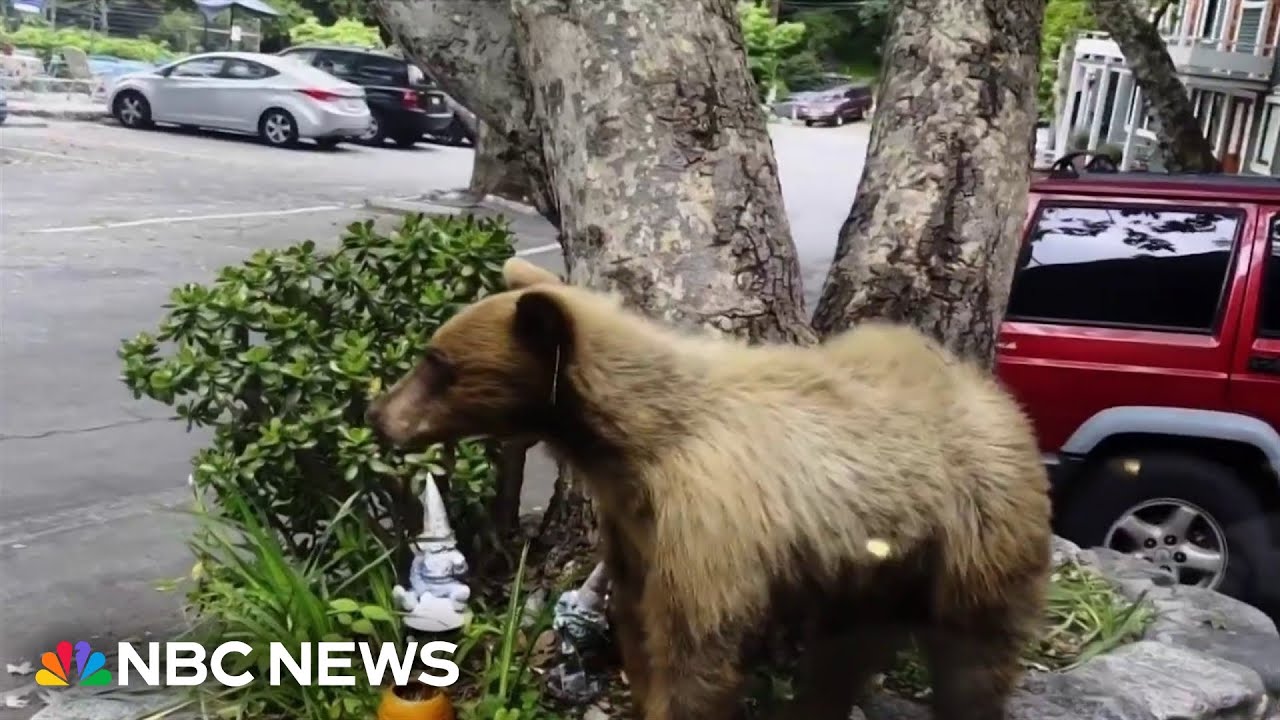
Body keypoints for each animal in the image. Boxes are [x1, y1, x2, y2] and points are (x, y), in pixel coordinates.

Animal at [366, 257, 1054, 720]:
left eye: (438, 364)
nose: (378, 413)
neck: (633, 444)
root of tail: (1003, 404)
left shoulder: (707, 521)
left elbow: (696, 649)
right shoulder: (635, 524)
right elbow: (639, 624)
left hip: (977, 539)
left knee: (974, 659)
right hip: (875, 565)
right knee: (845, 652)